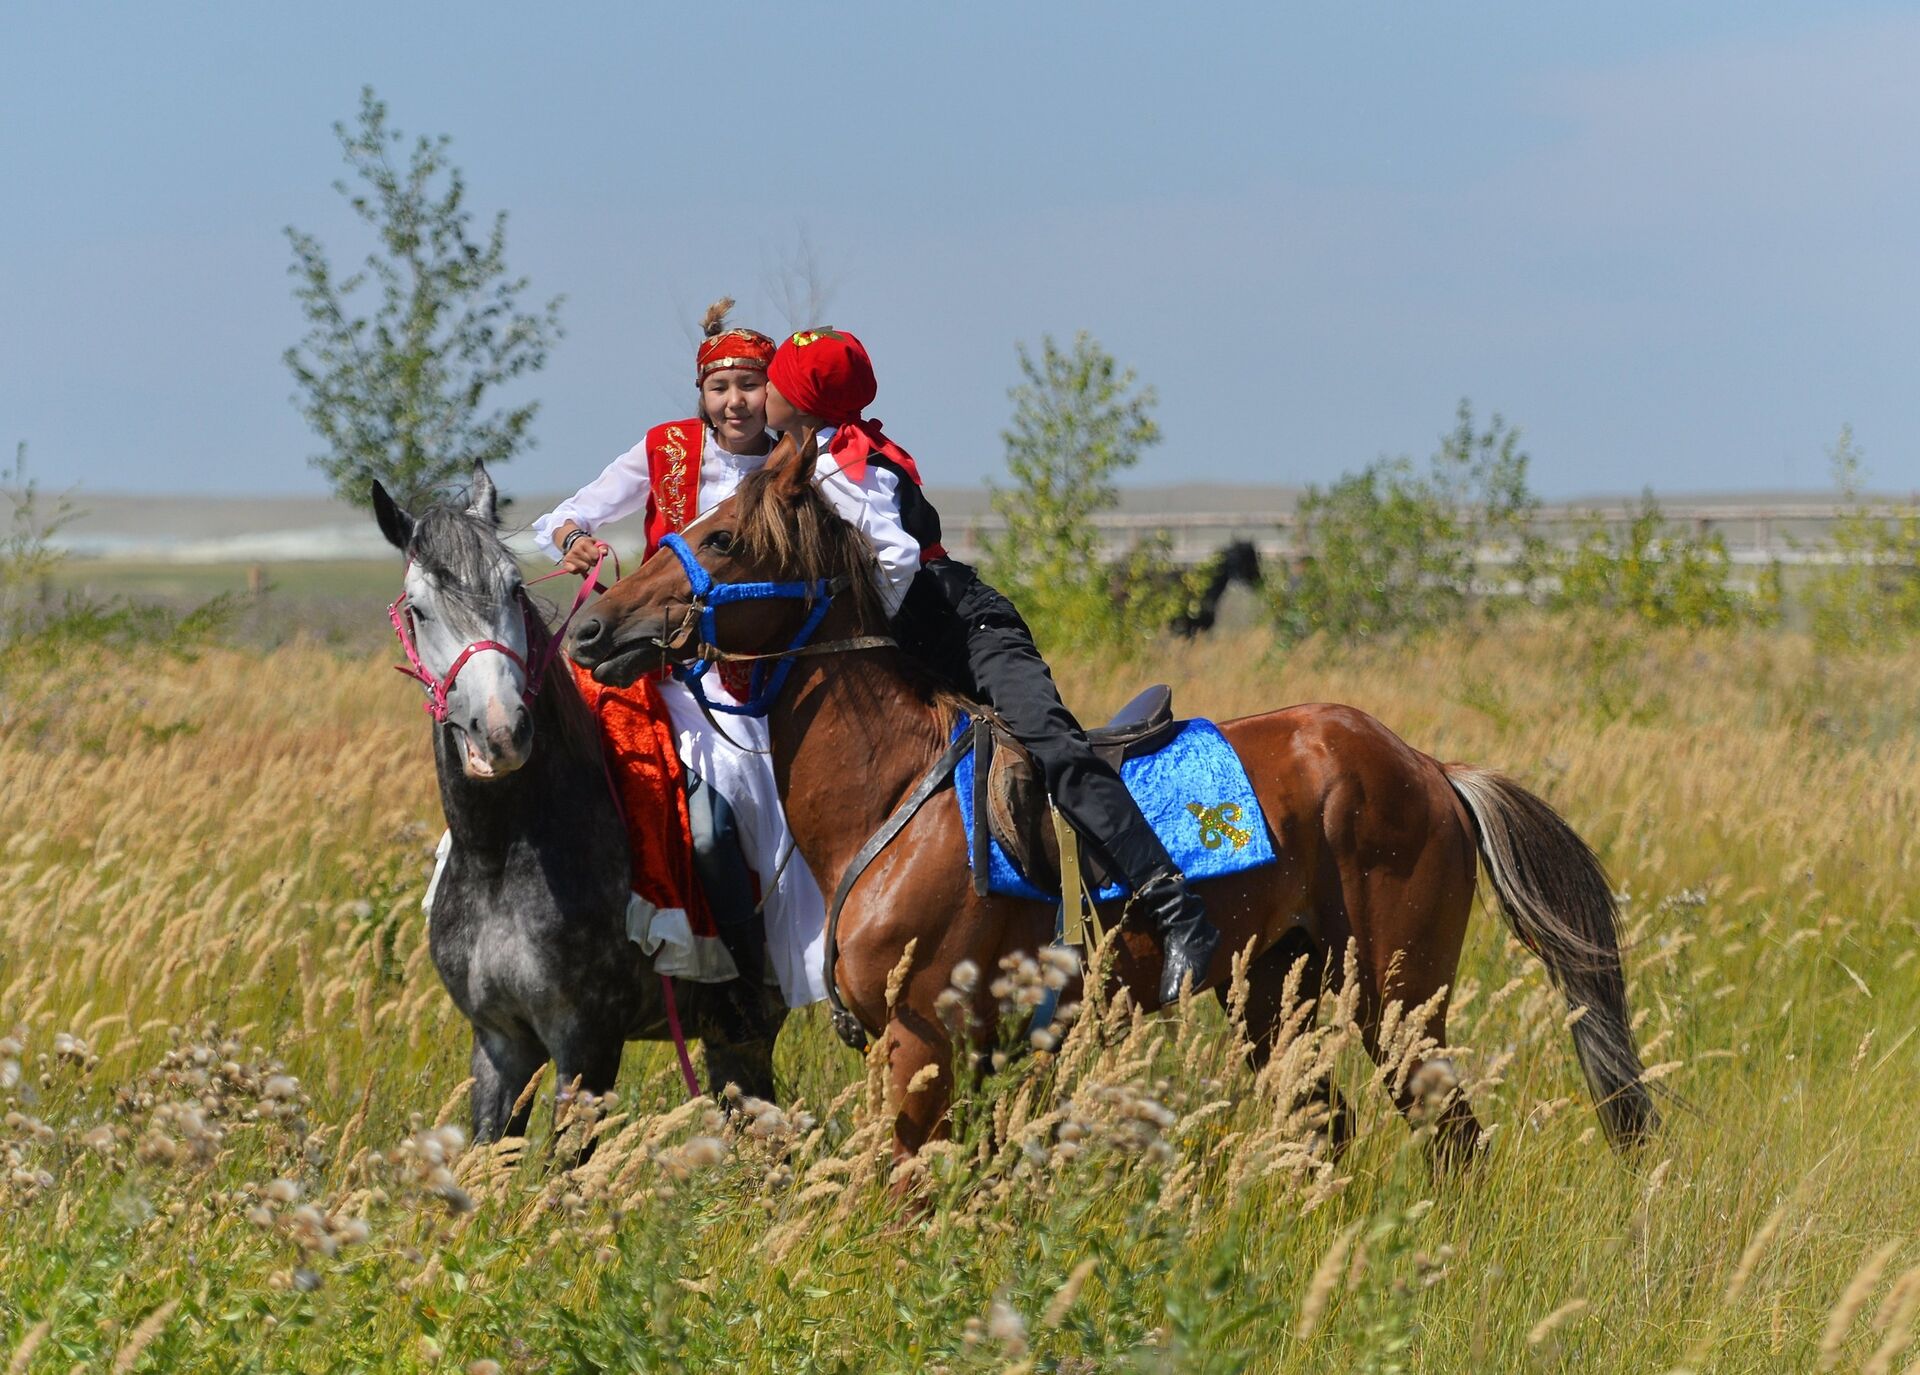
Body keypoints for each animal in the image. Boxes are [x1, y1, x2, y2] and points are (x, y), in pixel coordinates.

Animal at [374, 464, 779, 1136]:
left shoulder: (588, 1047)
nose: (502, 732)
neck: (503, 856)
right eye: (418, 610)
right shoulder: (500, 1044)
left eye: (513, 589)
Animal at [560, 435, 1658, 1167]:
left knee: (1452, 1134)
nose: (593, 626)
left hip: (1397, 996)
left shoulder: (919, 1048)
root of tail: (1429, 765)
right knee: (1326, 1125)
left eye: (723, 537)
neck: (892, 799)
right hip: (1279, 992)